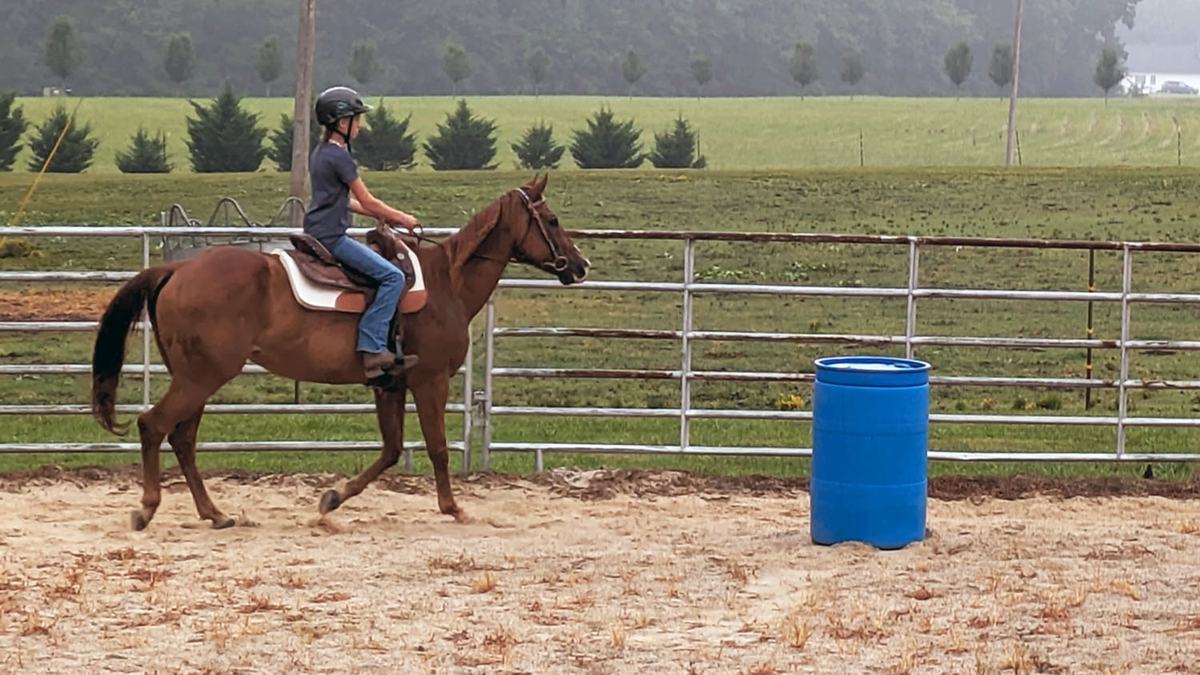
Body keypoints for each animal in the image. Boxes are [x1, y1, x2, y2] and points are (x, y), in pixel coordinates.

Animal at [90, 175, 589, 530]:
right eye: (553, 220)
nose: (581, 266)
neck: (445, 283)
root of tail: (176, 269)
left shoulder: (389, 385)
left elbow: (391, 450)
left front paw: (332, 499)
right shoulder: (429, 382)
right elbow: (438, 448)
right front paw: (454, 508)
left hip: (195, 376)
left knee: (183, 437)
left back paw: (214, 513)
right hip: (202, 376)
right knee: (154, 425)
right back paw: (147, 509)